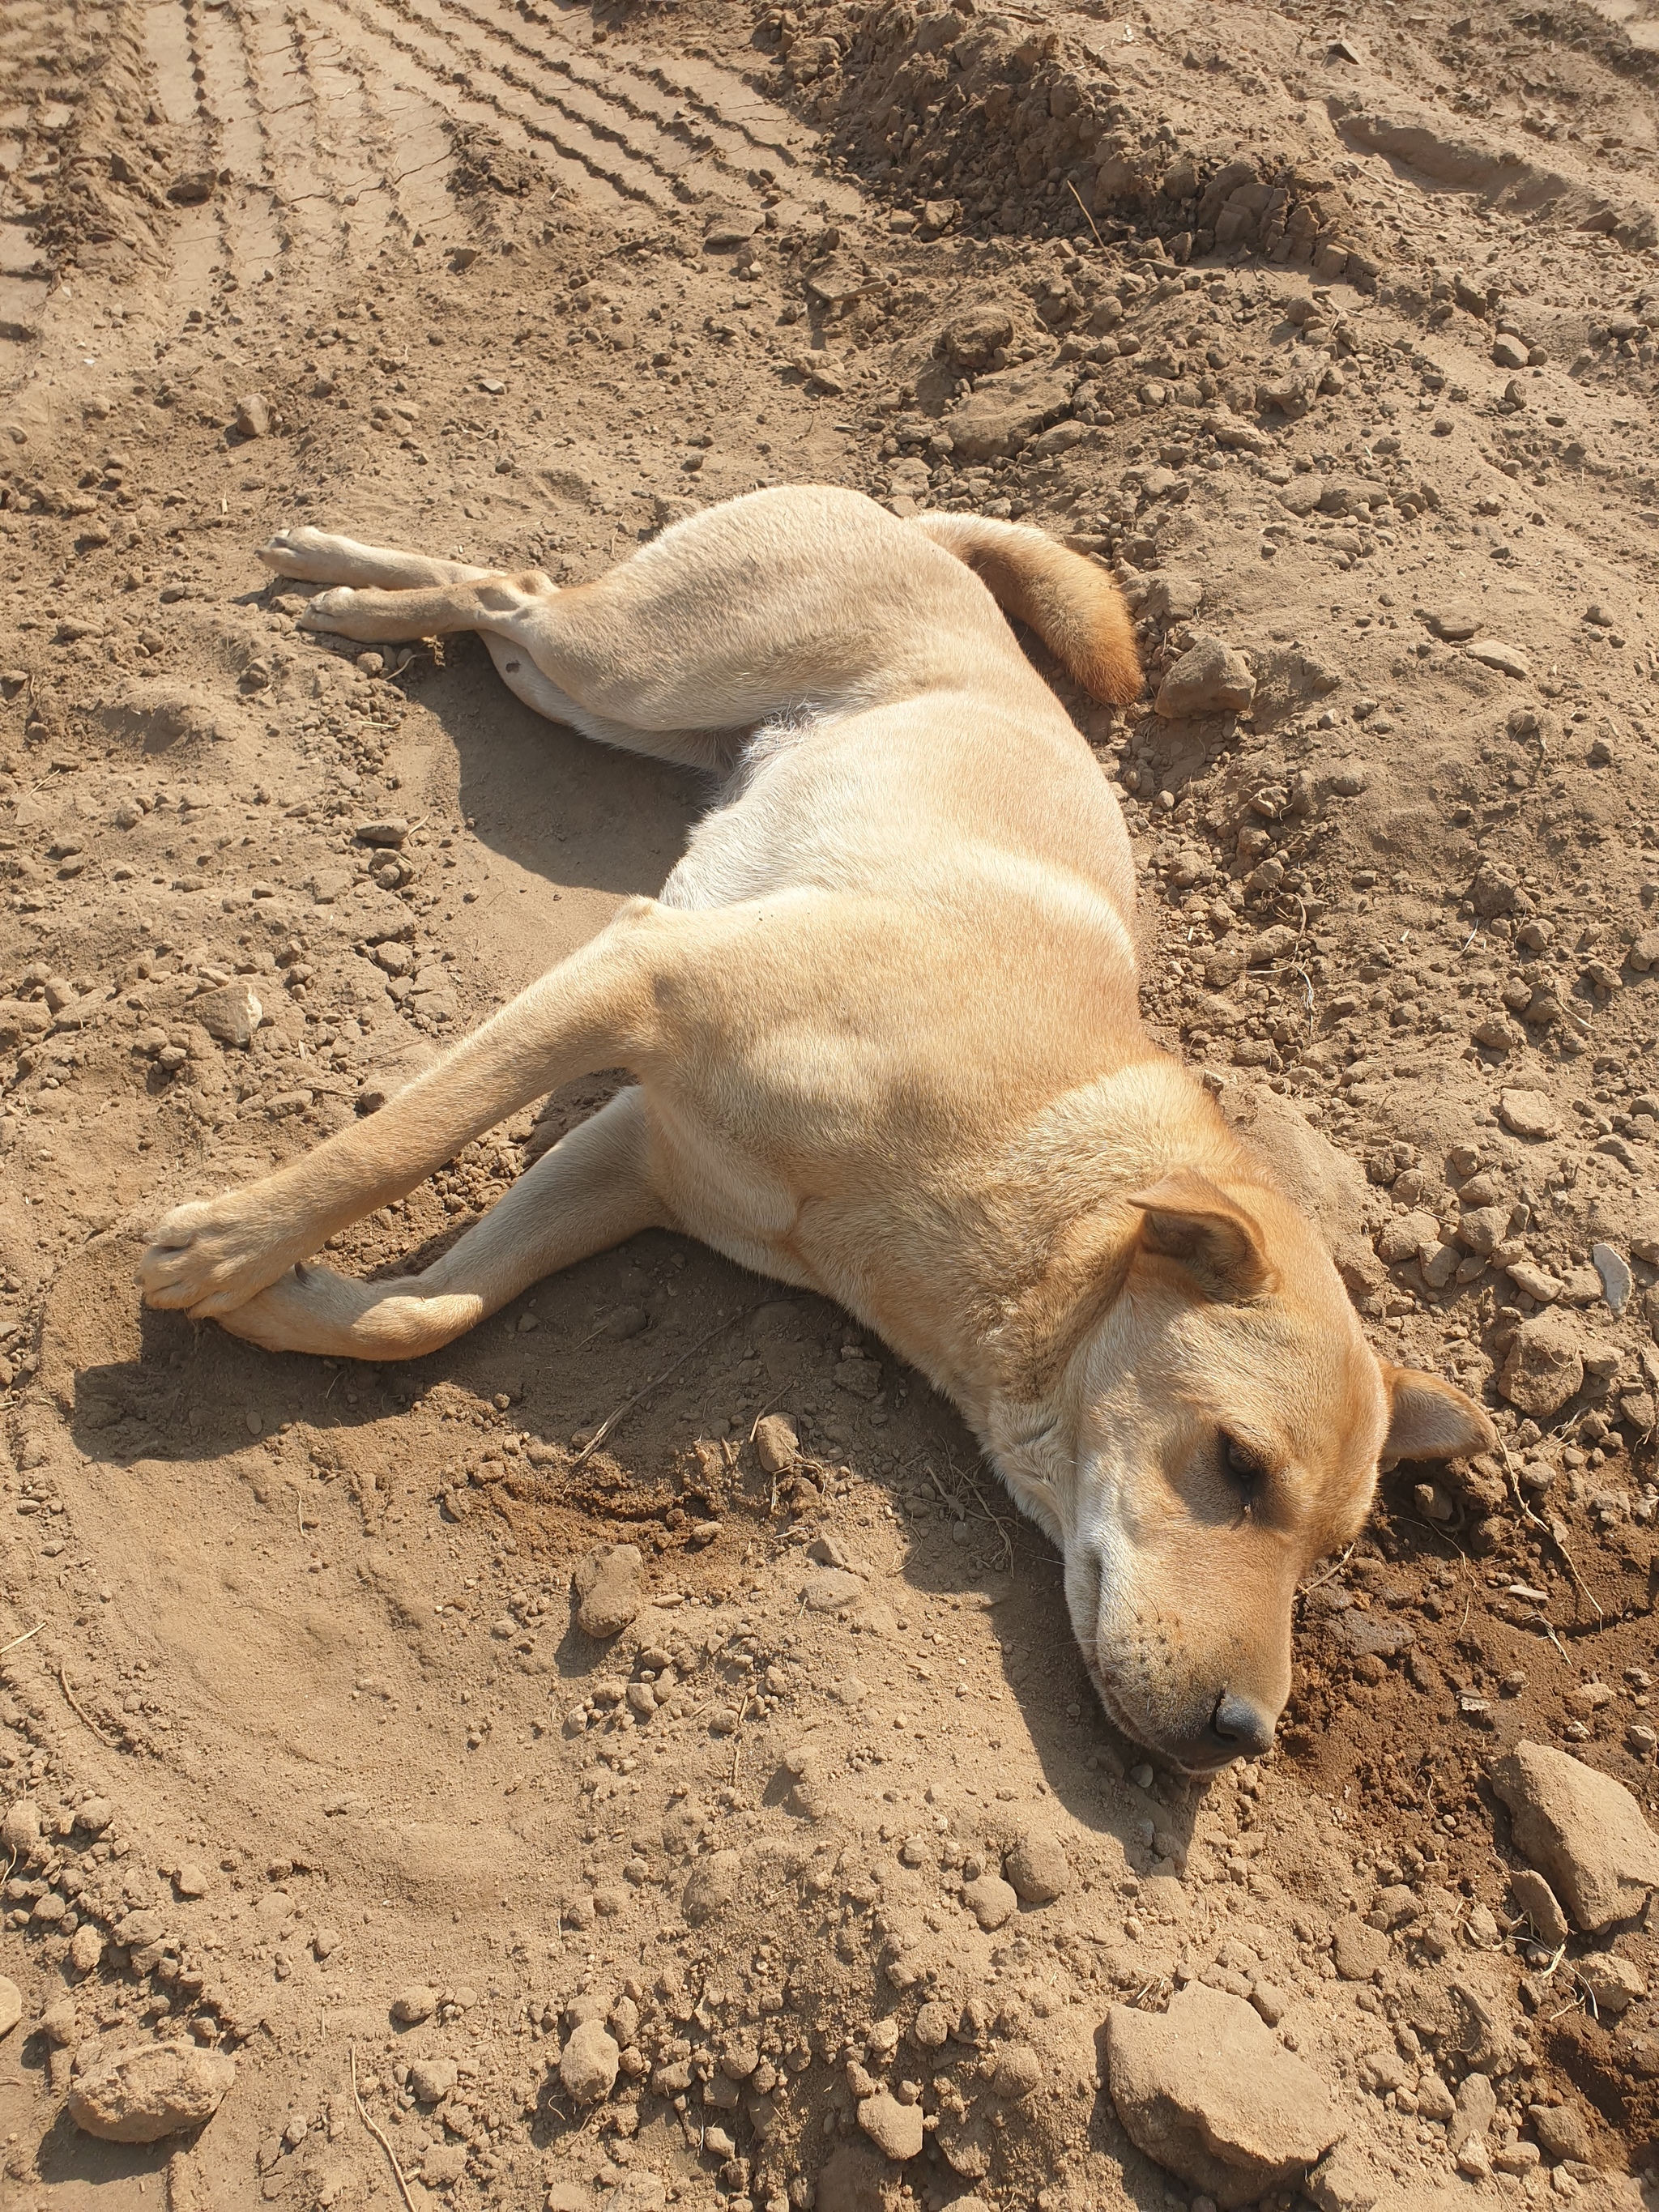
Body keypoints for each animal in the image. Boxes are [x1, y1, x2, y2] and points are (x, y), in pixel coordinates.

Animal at [139, 493, 1495, 1769]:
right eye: (1238, 1463)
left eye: (1328, 1551)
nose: (1243, 1732)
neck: (1016, 1150)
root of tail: (914, 525)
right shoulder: (639, 979)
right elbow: (394, 1141)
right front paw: (228, 1241)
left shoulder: (639, 1159)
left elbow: (430, 1311)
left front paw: (281, 1299)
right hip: (643, 664)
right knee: (510, 585)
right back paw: (336, 578)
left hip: (620, 707)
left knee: (506, 616)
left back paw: (361, 596)